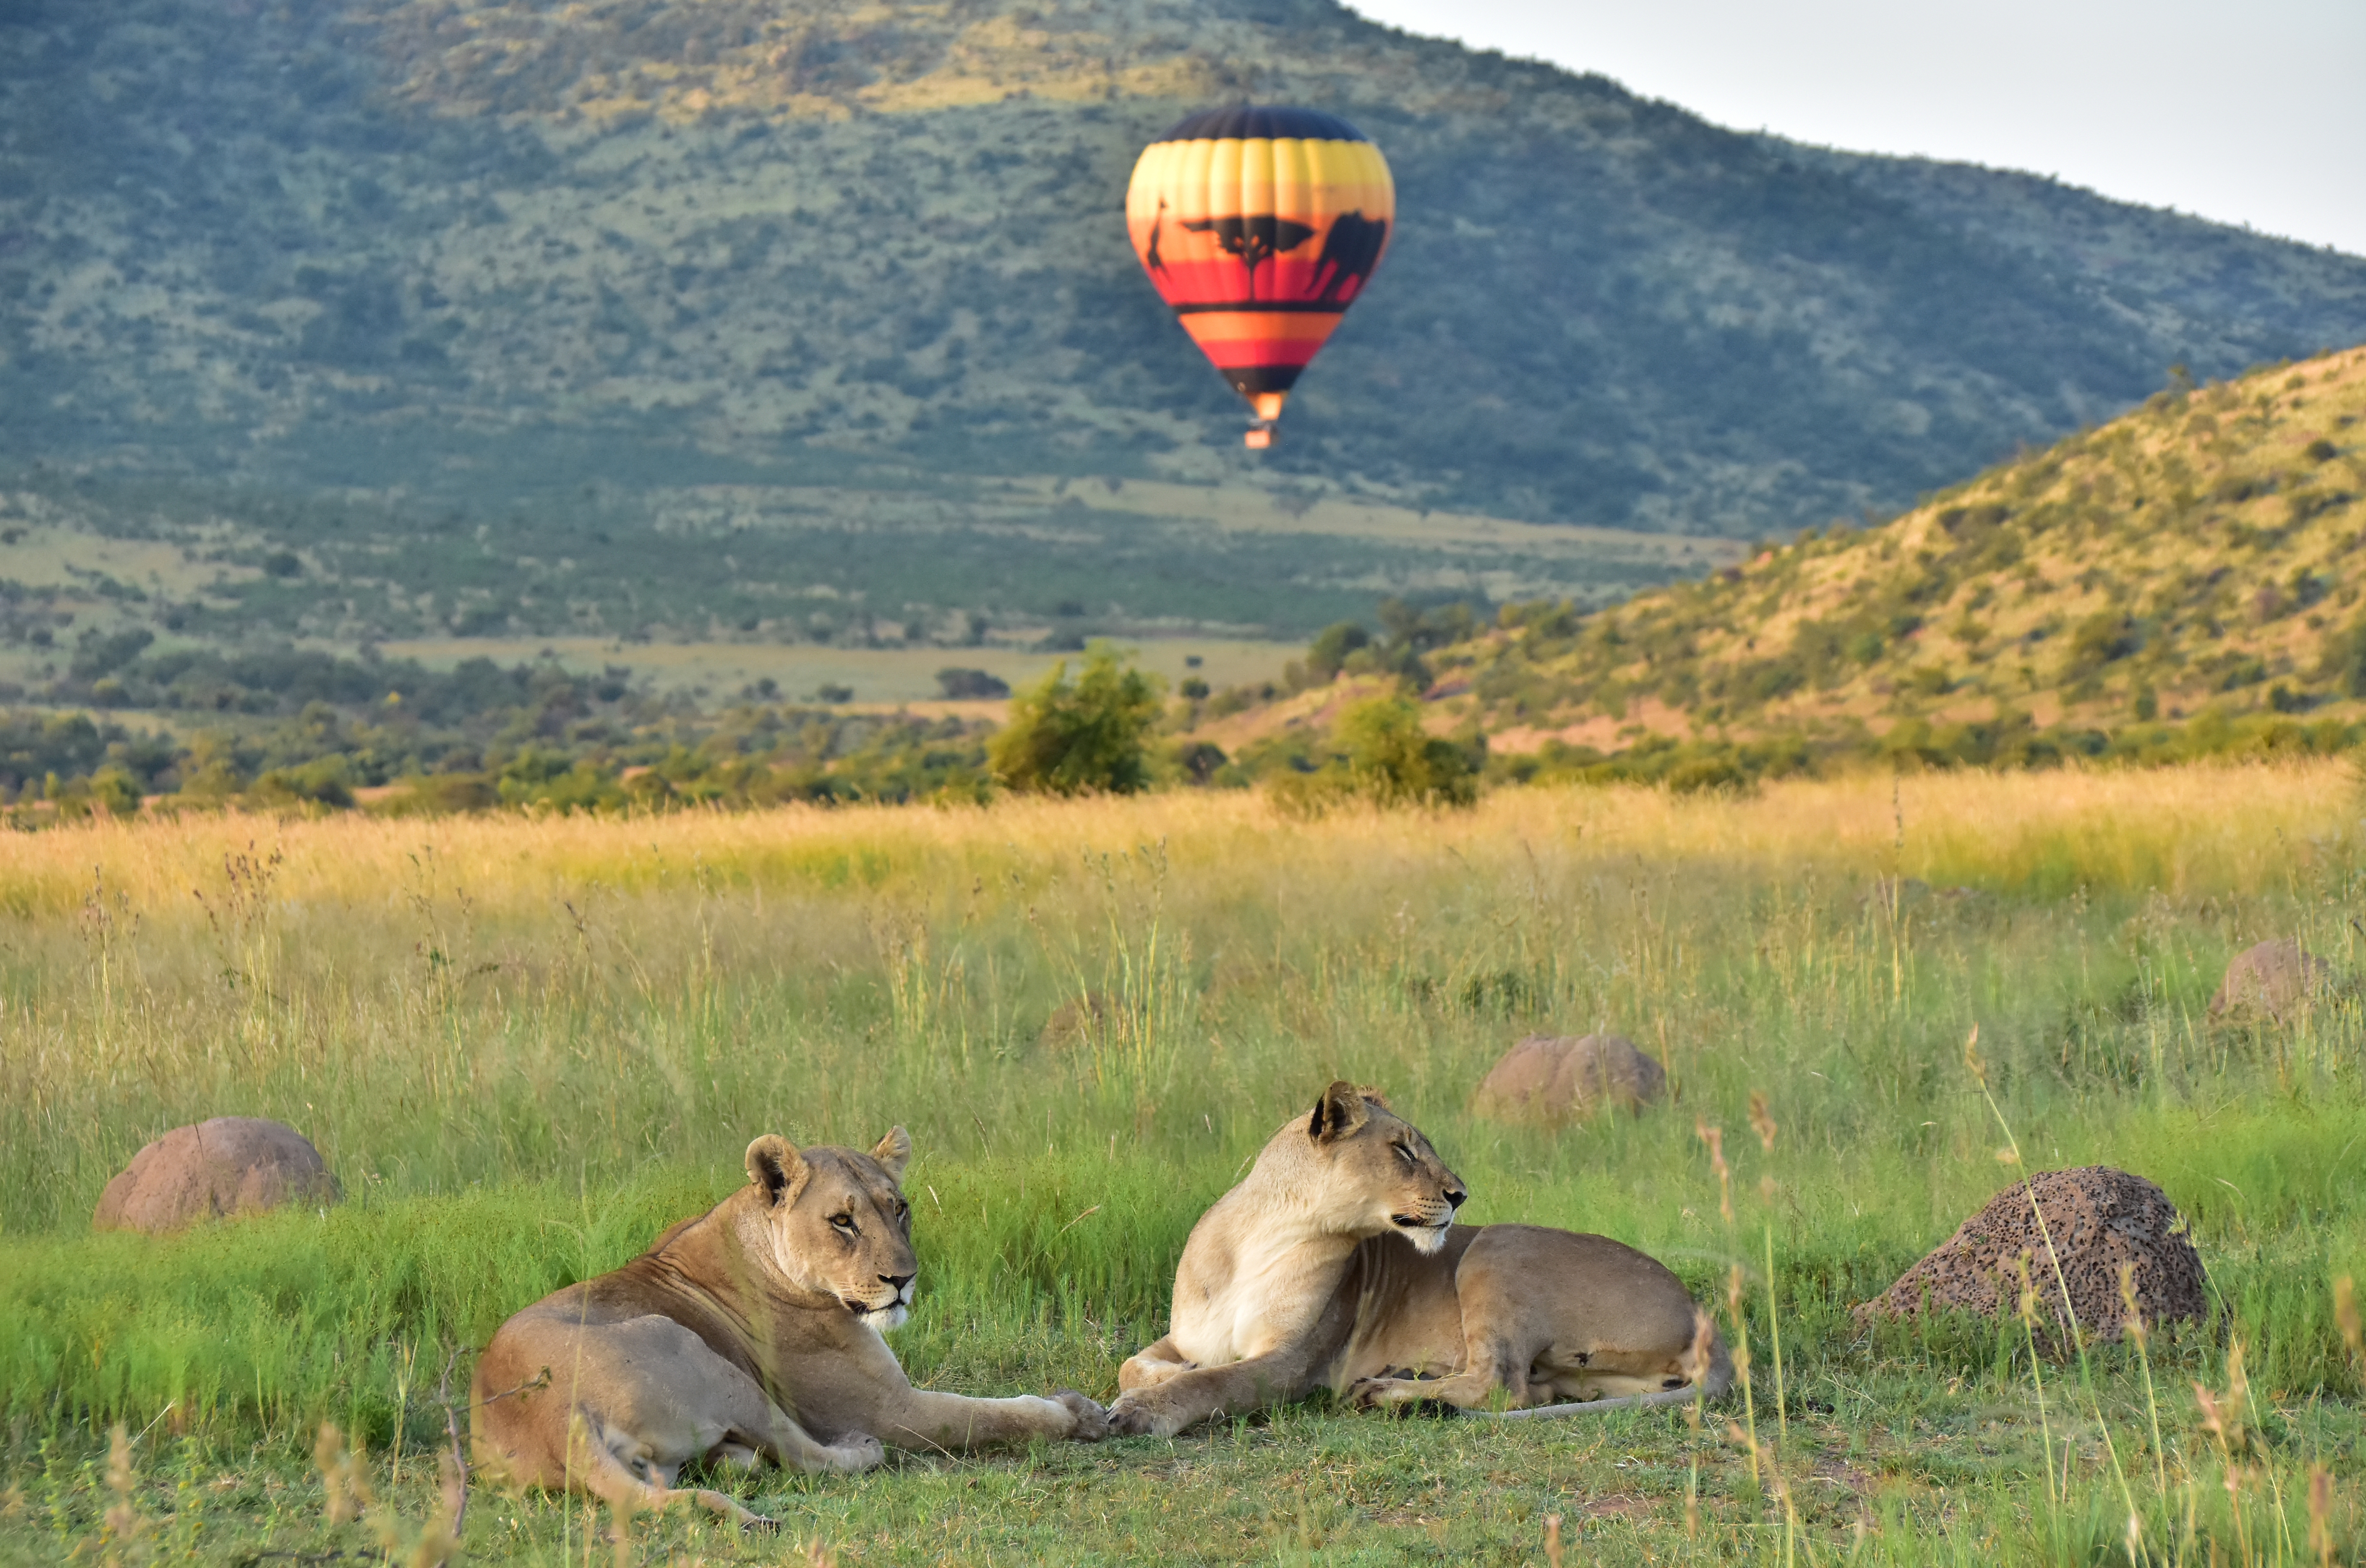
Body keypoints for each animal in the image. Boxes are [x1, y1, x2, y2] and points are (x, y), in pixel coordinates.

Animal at [471, 1129, 1107, 1526]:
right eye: (843, 1221)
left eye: (898, 1207)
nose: (903, 1278)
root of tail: (557, 1421)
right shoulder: (889, 1408)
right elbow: (988, 1415)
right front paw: (1076, 1413)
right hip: (700, 1353)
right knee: (810, 1458)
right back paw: (854, 1449)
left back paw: (732, 1458)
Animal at [1107, 1083, 1729, 1437]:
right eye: (1403, 1150)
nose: (1461, 1195)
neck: (1262, 1236)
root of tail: (1706, 1321)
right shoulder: (1186, 1335)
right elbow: (1136, 1364)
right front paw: (1164, 1376)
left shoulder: (1292, 1363)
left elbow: (1213, 1384)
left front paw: (1143, 1410)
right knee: (1534, 1390)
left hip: (1496, 1246)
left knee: (1501, 1384)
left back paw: (1383, 1393)